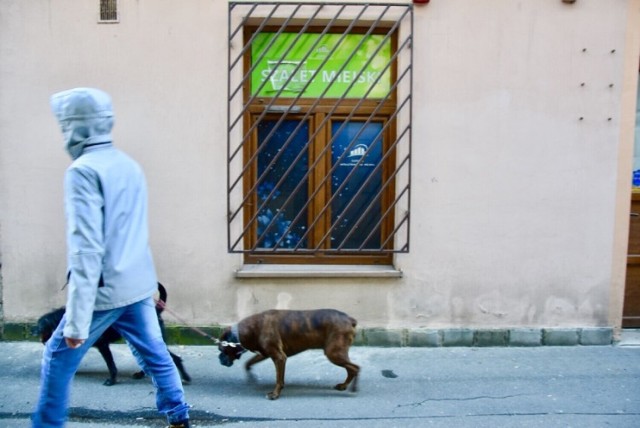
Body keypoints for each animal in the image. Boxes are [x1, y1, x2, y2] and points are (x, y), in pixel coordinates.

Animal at [35, 282, 190, 386]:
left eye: (41, 327)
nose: (40, 338)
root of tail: (156, 310)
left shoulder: (103, 345)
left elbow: (111, 365)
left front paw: (112, 379)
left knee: (174, 358)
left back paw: (184, 377)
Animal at [219, 310, 360, 400]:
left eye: (222, 349)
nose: (220, 359)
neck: (252, 328)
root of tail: (349, 319)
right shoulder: (265, 353)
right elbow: (248, 363)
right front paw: (251, 378)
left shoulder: (279, 357)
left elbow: (279, 379)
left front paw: (275, 394)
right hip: (338, 352)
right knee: (350, 369)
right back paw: (344, 386)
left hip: (333, 353)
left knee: (355, 368)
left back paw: (352, 388)